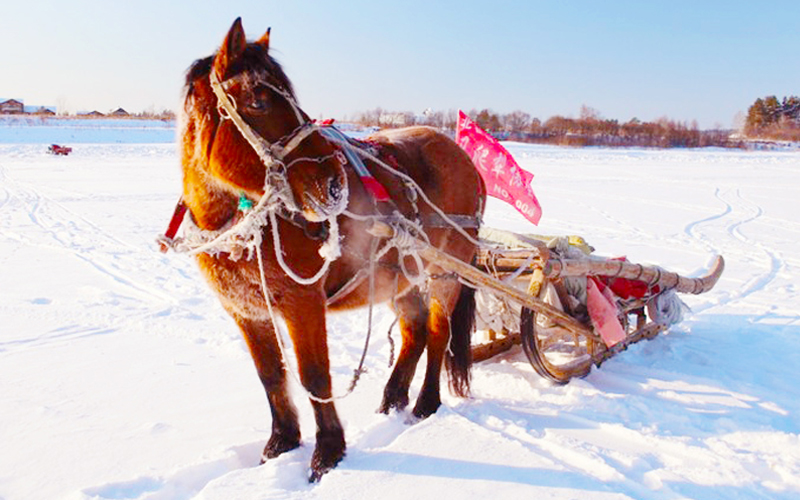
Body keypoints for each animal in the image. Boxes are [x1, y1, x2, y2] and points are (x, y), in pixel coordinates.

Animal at [176, 18, 484, 480]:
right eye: (258, 100)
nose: (334, 183)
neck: (244, 225)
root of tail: (461, 155)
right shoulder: (245, 310)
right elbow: (271, 375)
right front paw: (280, 444)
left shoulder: (302, 301)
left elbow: (314, 376)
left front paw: (327, 453)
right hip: (401, 273)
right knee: (413, 332)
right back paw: (391, 400)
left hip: (445, 270)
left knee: (436, 332)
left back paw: (425, 405)